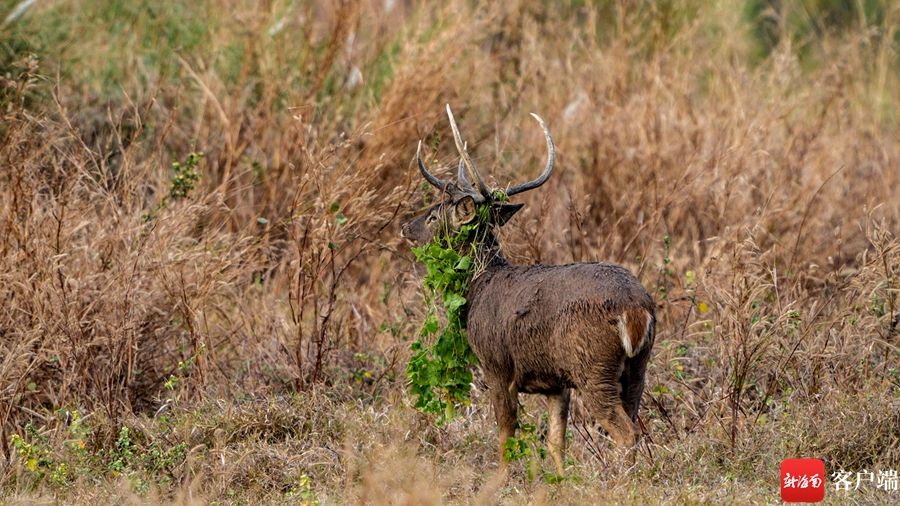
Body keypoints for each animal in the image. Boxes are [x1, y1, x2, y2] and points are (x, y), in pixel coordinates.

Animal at [400, 105, 652, 472]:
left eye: (434, 215)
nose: (405, 227)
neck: (478, 285)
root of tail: (636, 308)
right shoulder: (556, 382)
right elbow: (556, 442)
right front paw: (561, 479)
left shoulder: (495, 364)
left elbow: (506, 433)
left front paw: (501, 478)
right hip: (637, 367)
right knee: (634, 420)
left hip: (594, 366)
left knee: (625, 431)